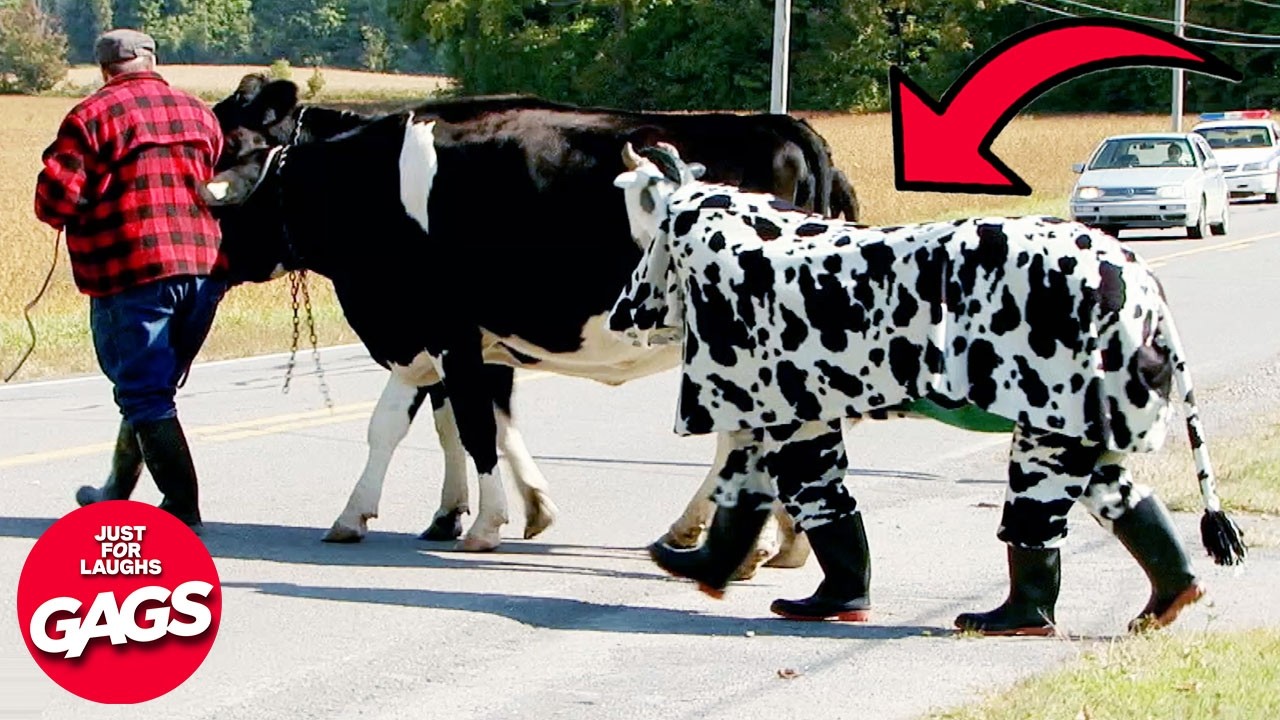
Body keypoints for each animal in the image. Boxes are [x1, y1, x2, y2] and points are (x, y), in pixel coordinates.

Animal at [203, 81, 857, 578]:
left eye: (226, 146)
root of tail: (780, 125)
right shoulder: (452, 338)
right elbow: (426, 423)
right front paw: (377, 514)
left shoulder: (445, 330)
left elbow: (471, 426)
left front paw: (483, 524)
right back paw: (778, 541)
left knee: (753, 435)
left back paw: (733, 541)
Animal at [608, 143, 1245, 633]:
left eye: (639, 215)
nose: (620, 315)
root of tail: (1143, 284)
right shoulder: (789, 409)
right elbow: (783, 492)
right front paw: (813, 591)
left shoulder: (764, 398)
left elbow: (780, 486)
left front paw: (706, 562)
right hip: (1083, 427)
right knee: (1117, 497)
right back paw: (1166, 600)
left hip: (1054, 423)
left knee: (1037, 511)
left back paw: (1013, 619)